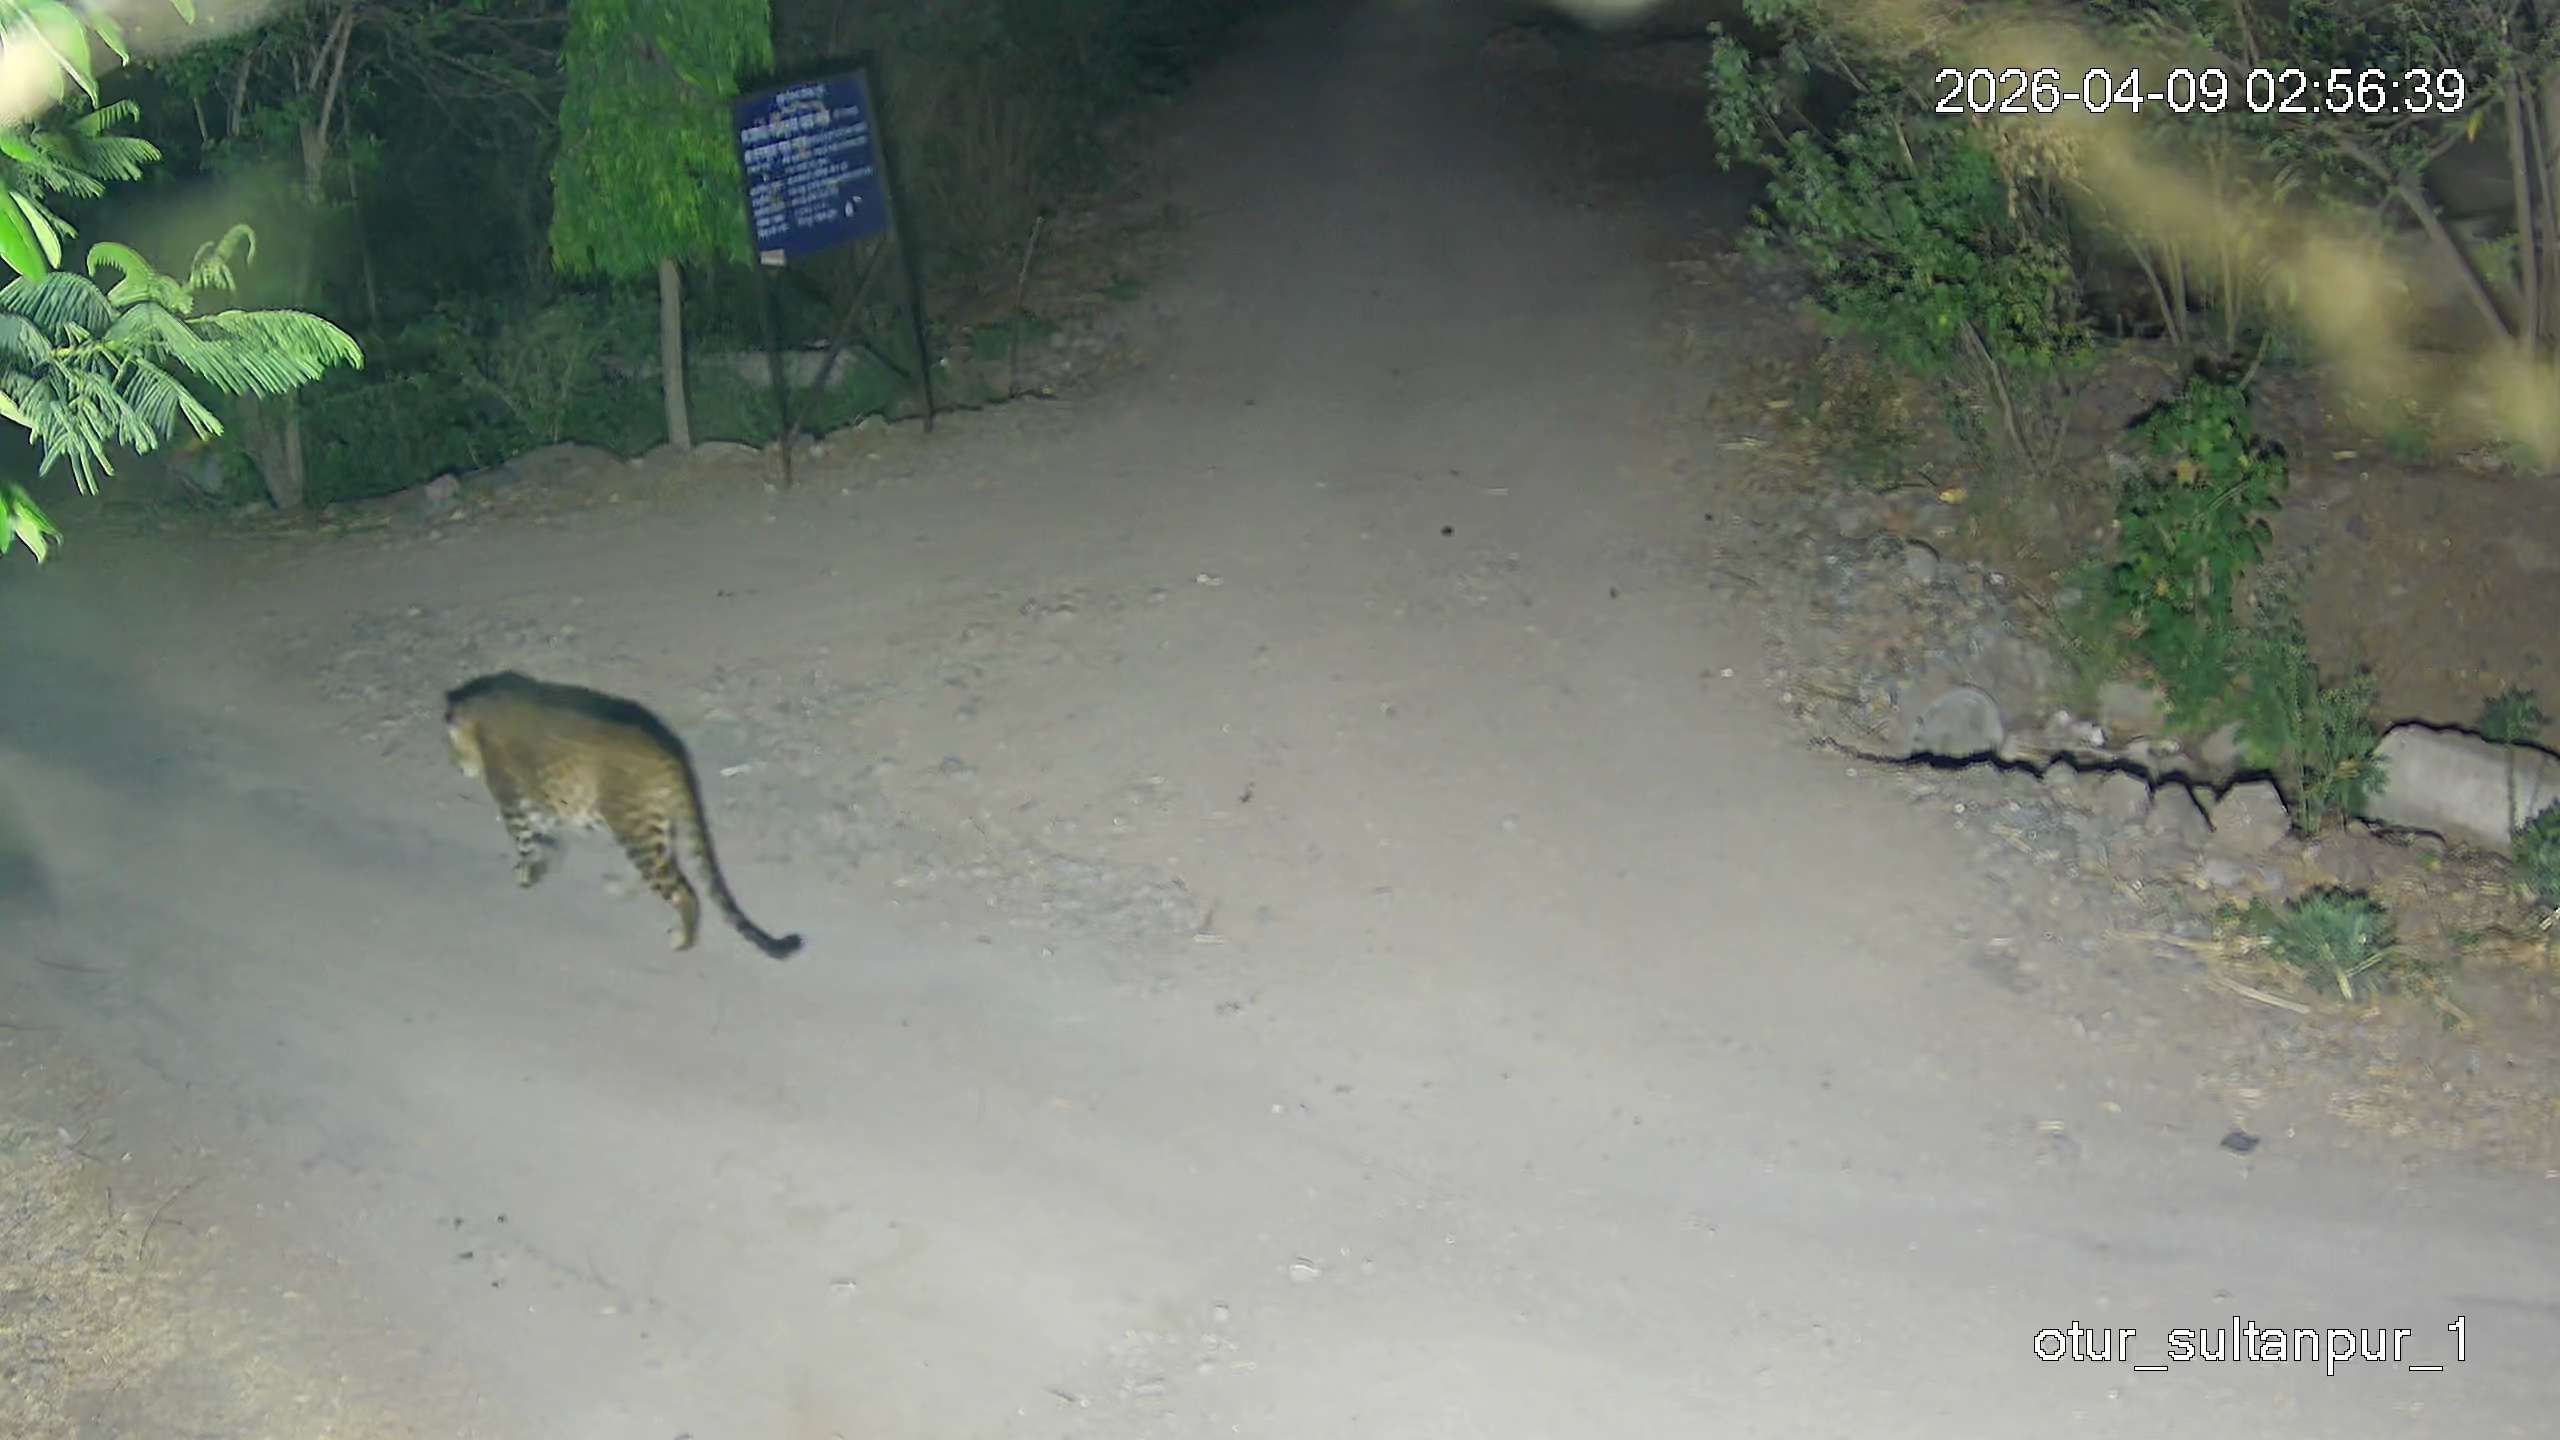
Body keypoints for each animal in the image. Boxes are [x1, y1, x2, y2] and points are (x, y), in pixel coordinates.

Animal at [442, 670, 804, 960]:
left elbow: (525, 841)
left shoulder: (513, 802)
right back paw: (621, 889)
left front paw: (528, 873)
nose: (456, 766)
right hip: (649, 825)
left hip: (635, 827)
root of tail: (671, 757)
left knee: (682, 891)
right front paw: (546, 861)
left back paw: (683, 940)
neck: (482, 714)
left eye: (453, 748)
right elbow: (546, 836)